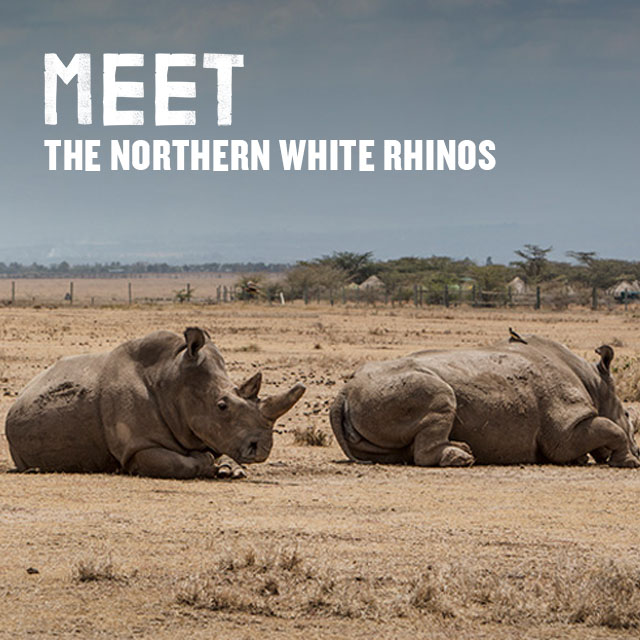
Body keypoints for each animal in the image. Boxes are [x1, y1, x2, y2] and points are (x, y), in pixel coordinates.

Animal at [6, 327, 305, 478]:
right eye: (222, 406)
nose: (262, 449)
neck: (172, 379)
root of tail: (24, 391)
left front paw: (232, 470)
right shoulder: (138, 446)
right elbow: (180, 464)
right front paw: (207, 462)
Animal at [330, 334, 640, 468]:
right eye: (628, 416)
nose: (638, 450)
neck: (596, 384)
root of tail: (345, 391)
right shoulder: (566, 427)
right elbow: (608, 429)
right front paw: (628, 462)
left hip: (374, 393)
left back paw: (463, 450)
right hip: (399, 388)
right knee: (441, 395)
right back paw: (462, 459)